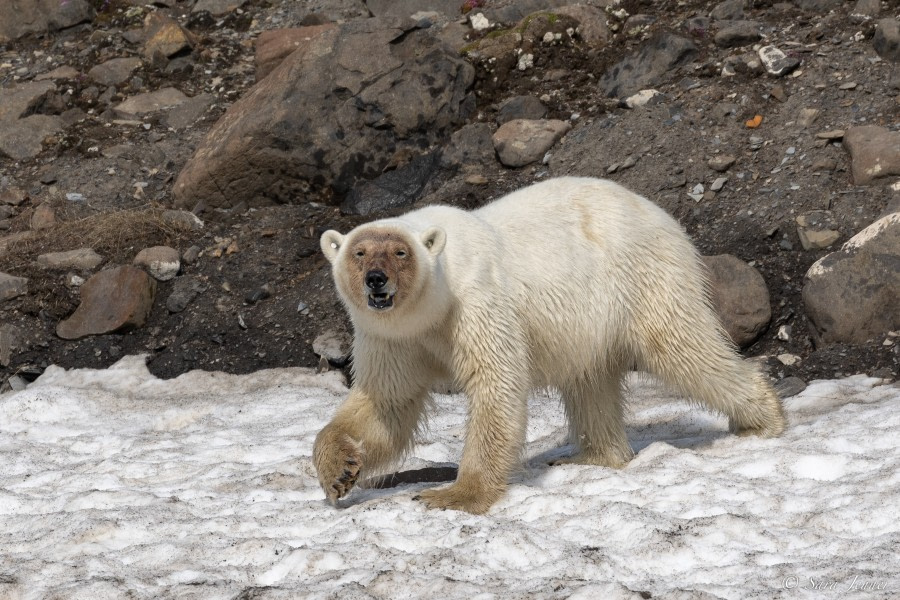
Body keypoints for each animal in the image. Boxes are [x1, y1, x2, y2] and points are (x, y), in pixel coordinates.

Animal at [312, 176, 784, 512]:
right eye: (359, 252)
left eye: (399, 252)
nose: (376, 280)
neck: (431, 309)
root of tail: (661, 214)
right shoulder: (391, 337)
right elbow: (387, 401)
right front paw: (340, 471)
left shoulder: (476, 303)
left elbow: (496, 385)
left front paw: (454, 495)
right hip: (590, 322)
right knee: (591, 381)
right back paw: (592, 457)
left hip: (645, 278)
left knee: (683, 348)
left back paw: (762, 418)